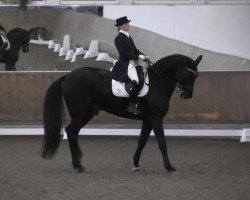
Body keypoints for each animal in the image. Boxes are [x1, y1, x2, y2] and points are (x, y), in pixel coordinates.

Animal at [42, 54, 203, 173]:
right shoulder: (156, 118)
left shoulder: (148, 120)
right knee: (71, 131)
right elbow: (162, 143)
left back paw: (78, 163)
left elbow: (142, 142)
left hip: (85, 114)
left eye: (196, 76)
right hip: (80, 114)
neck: (157, 83)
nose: (187, 95)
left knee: (73, 132)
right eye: (186, 73)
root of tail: (68, 76)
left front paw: (136, 165)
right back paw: (79, 165)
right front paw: (169, 167)